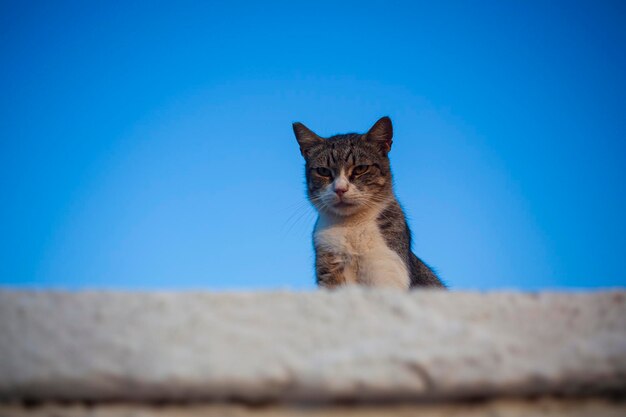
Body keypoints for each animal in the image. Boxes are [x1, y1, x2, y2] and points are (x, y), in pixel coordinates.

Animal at [292, 115, 444, 288]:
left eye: (360, 169)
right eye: (323, 171)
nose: (340, 189)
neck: (352, 225)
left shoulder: (386, 266)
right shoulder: (329, 267)